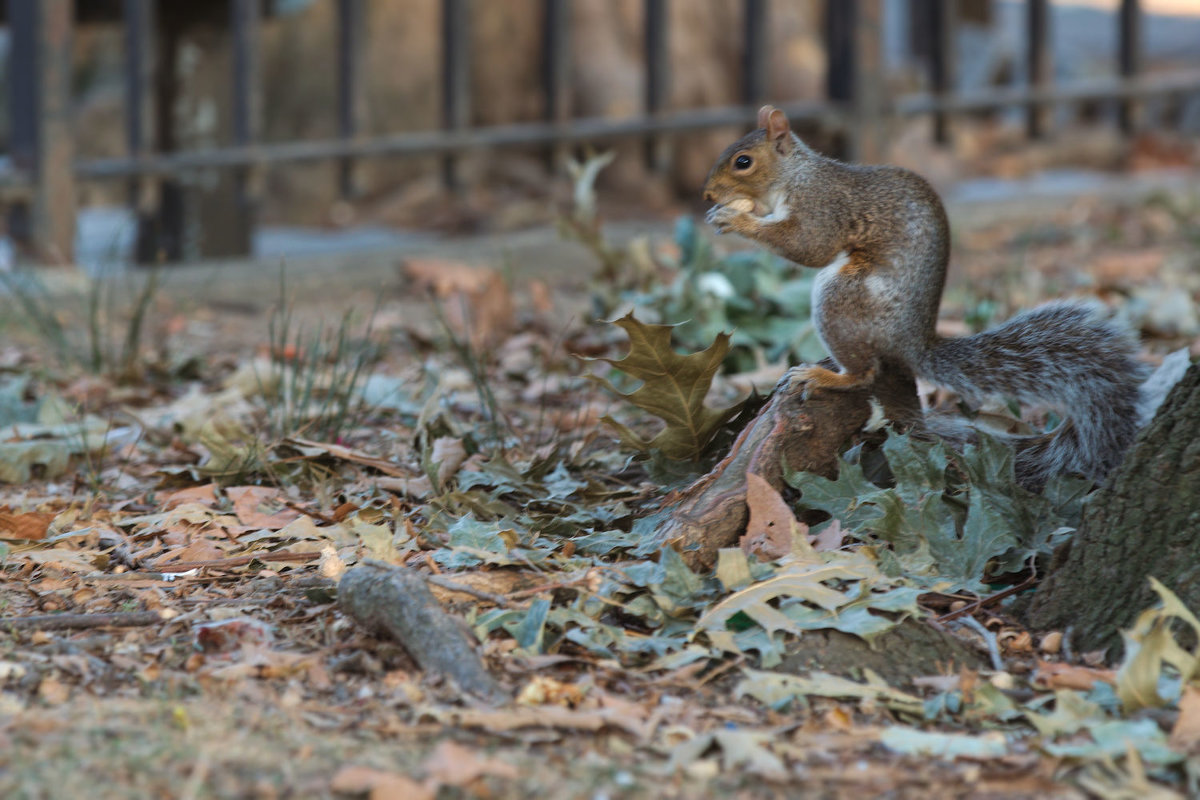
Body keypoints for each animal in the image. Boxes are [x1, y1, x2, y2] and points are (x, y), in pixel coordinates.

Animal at [700, 105, 1142, 489]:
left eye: (743, 161)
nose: (707, 195)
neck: (796, 175)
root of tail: (913, 344)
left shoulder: (822, 206)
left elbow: (810, 246)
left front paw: (737, 219)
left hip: (842, 297)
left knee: (865, 371)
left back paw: (827, 375)